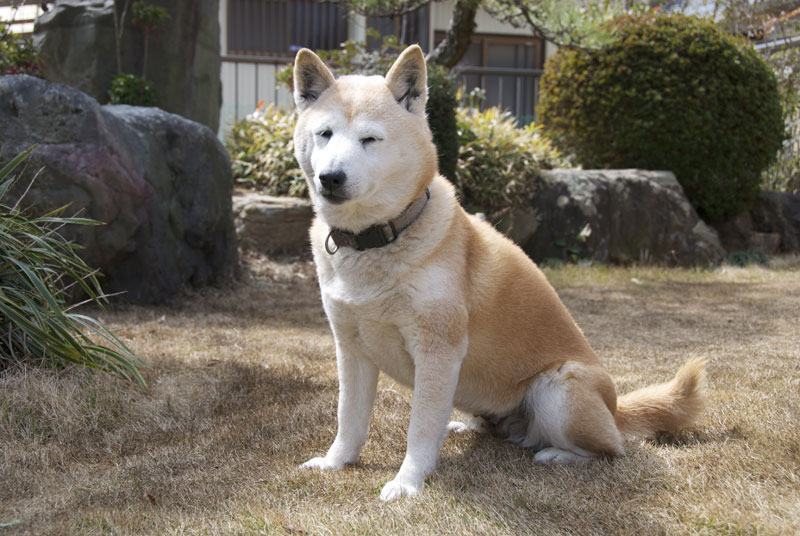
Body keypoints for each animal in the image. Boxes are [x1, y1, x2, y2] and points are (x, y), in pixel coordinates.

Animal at [292, 45, 707, 501]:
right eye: (325, 134)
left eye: (369, 139)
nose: (331, 177)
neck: (374, 240)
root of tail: (615, 409)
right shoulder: (352, 348)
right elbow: (348, 419)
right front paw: (335, 463)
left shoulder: (437, 349)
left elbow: (420, 428)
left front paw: (408, 482)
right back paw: (469, 425)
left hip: (557, 389)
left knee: (611, 449)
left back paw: (557, 455)